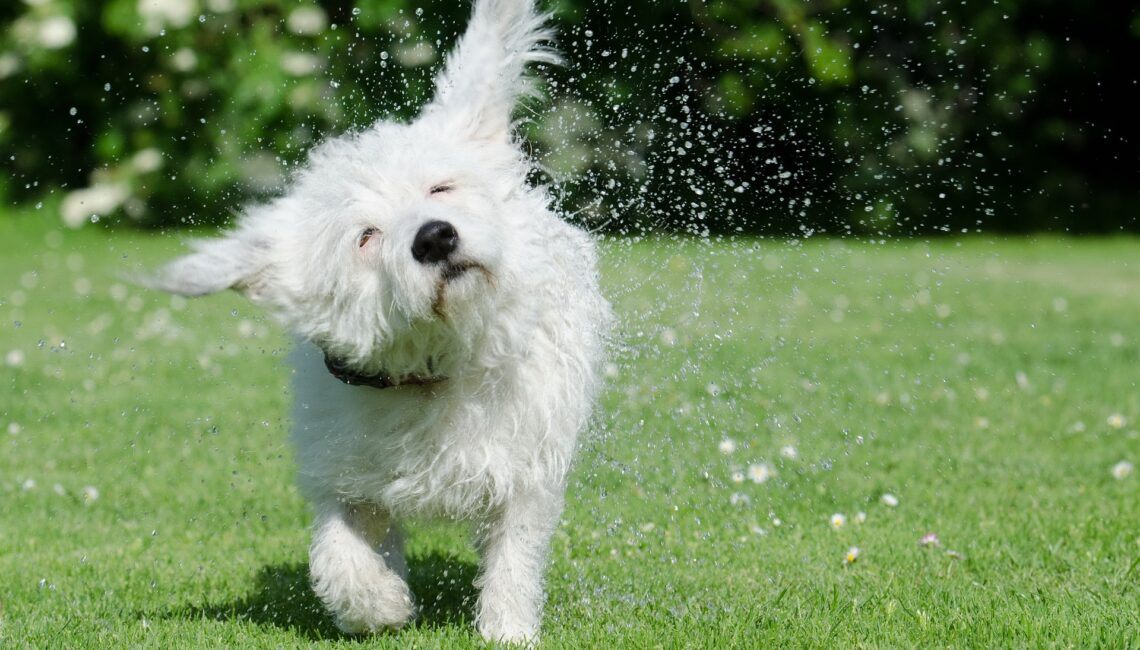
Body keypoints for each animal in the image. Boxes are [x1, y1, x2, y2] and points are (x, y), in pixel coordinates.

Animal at [147, 0, 611, 638]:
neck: (431, 370)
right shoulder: (344, 472)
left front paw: (507, 631)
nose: (435, 237)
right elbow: (337, 553)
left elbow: (514, 554)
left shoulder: (522, 470)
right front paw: (382, 604)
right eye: (366, 237)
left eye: (440, 187)